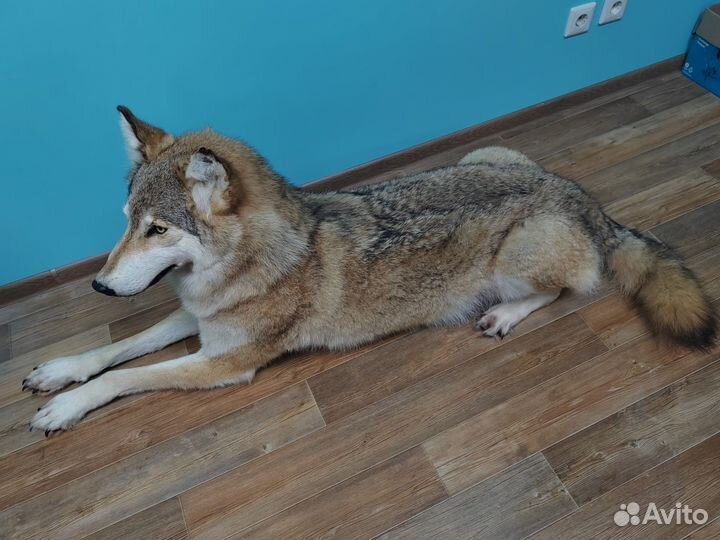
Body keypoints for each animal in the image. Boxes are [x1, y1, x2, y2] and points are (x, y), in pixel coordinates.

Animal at [24, 107, 717, 433]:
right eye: (125, 221)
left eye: (158, 229)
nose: (99, 284)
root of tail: (588, 201)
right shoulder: (198, 319)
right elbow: (124, 349)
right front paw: (61, 371)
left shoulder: (226, 362)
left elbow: (129, 377)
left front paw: (68, 407)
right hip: (492, 153)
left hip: (520, 254)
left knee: (567, 288)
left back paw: (502, 314)